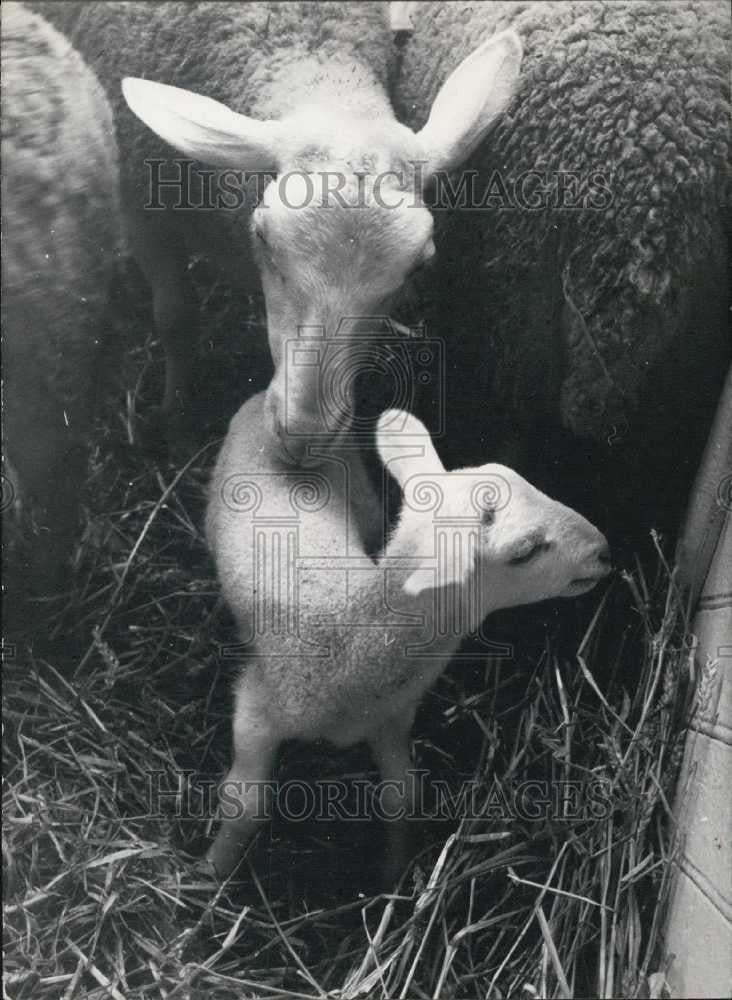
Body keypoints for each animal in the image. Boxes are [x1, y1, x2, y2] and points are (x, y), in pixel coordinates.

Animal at [31, 0, 528, 460]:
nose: (304, 436)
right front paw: (176, 422)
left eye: (418, 268)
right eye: (264, 239)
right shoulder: (141, 211)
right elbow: (175, 317)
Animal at [203, 394, 608, 880]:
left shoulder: (391, 717)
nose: (603, 549)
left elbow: (402, 798)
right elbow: (246, 805)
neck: (350, 631)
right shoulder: (257, 708)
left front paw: (393, 874)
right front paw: (212, 872)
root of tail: (265, 396)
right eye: (525, 551)